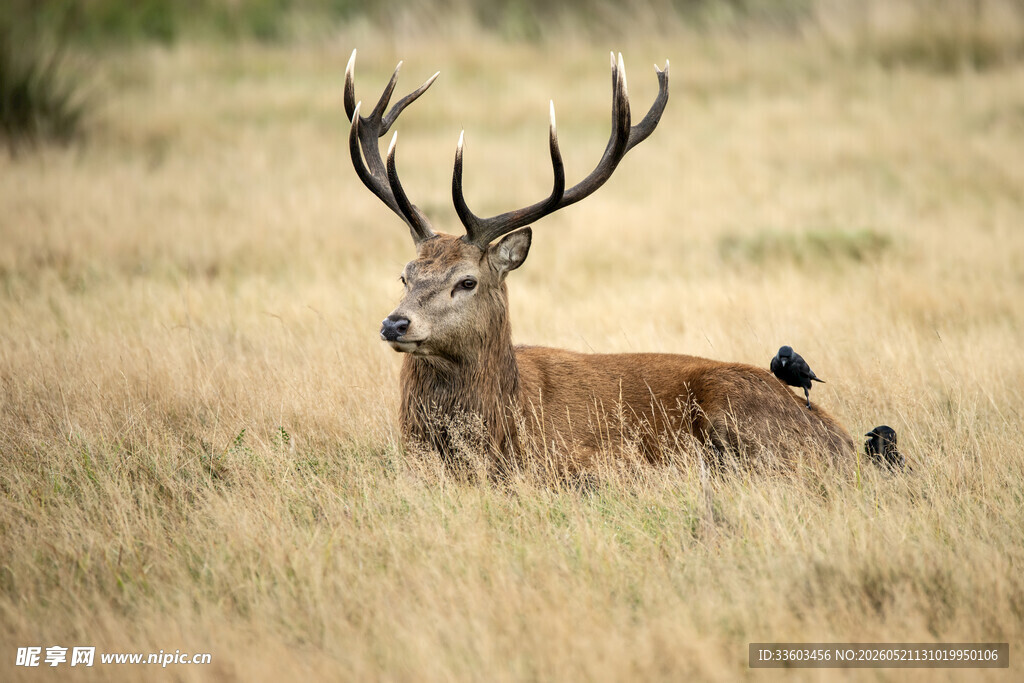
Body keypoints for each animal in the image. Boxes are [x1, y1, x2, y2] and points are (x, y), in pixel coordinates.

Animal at [344, 49, 856, 473]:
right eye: (405, 275)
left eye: (467, 281)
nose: (395, 323)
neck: (509, 419)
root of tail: (844, 444)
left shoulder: (589, 458)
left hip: (740, 410)